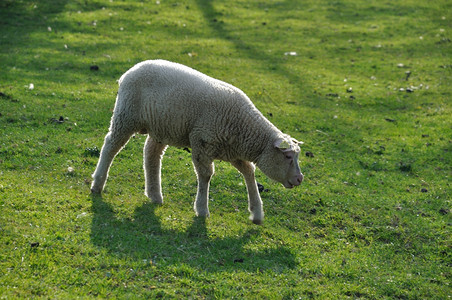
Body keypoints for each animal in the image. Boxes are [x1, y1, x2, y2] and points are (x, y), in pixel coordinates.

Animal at [91, 59, 304, 224]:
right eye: (287, 157)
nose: (300, 179)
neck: (244, 127)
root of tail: (129, 71)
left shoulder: (232, 150)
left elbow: (249, 172)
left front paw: (257, 212)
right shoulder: (202, 142)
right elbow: (206, 175)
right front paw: (202, 209)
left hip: (161, 126)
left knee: (151, 154)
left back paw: (154, 195)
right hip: (126, 115)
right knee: (111, 145)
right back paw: (97, 184)